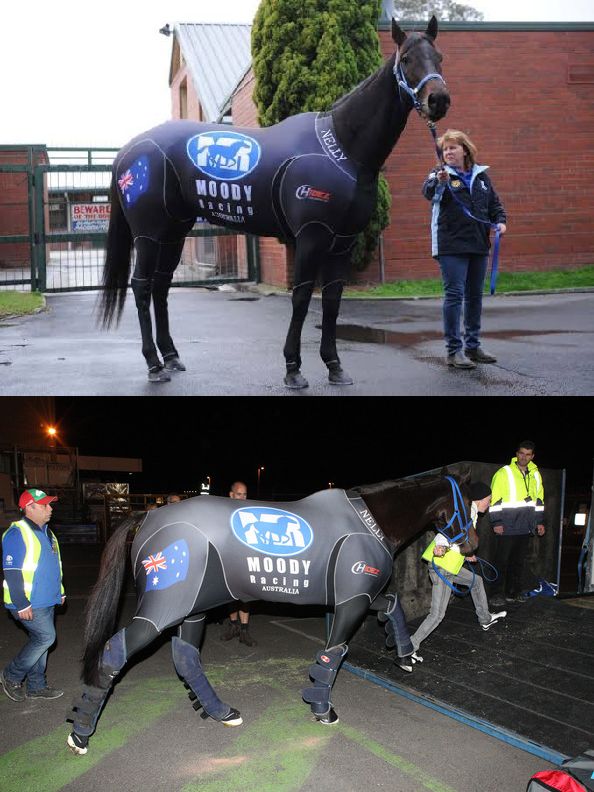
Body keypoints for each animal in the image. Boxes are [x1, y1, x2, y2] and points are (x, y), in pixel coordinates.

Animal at [67, 473, 472, 756]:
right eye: (469, 506)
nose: (472, 546)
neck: (369, 521)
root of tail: (148, 515)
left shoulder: (355, 596)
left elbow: (392, 606)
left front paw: (405, 653)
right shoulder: (352, 602)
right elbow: (332, 656)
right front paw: (323, 709)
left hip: (193, 607)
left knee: (186, 658)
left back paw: (220, 711)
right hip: (164, 608)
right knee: (115, 651)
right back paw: (81, 732)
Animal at [98, 18, 450, 387]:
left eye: (439, 56)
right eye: (407, 58)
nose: (438, 99)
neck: (342, 146)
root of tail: (128, 151)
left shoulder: (343, 242)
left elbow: (333, 301)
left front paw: (334, 365)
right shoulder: (311, 237)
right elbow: (302, 298)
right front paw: (293, 369)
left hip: (174, 232)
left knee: (161, 286)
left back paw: (170, 357)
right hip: (148, 233)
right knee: (141, 286)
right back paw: (153, 365)